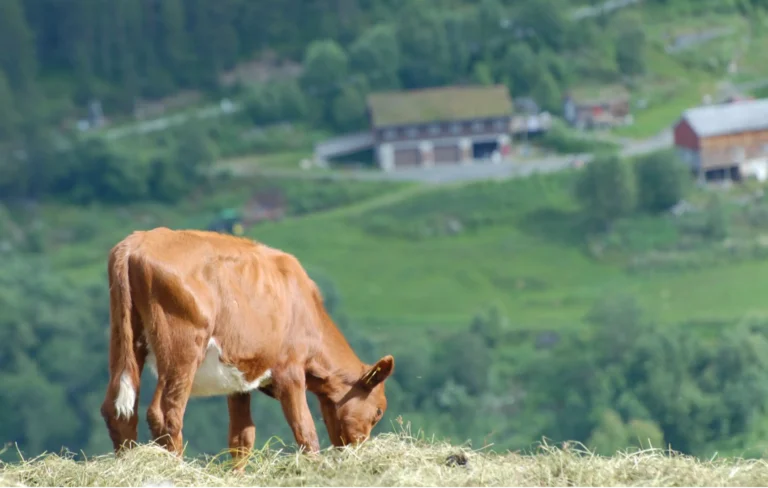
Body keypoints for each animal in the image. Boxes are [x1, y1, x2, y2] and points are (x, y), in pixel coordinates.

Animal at [100, 227, 396, 468]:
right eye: (379, 411)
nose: (358, 448)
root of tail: (137, 240)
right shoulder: (290, 370)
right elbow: (305, 431)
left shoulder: (239, 381)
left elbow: (242, 438)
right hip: (181, 349)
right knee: (165, 413)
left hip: (124, 340)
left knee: (117, 410)